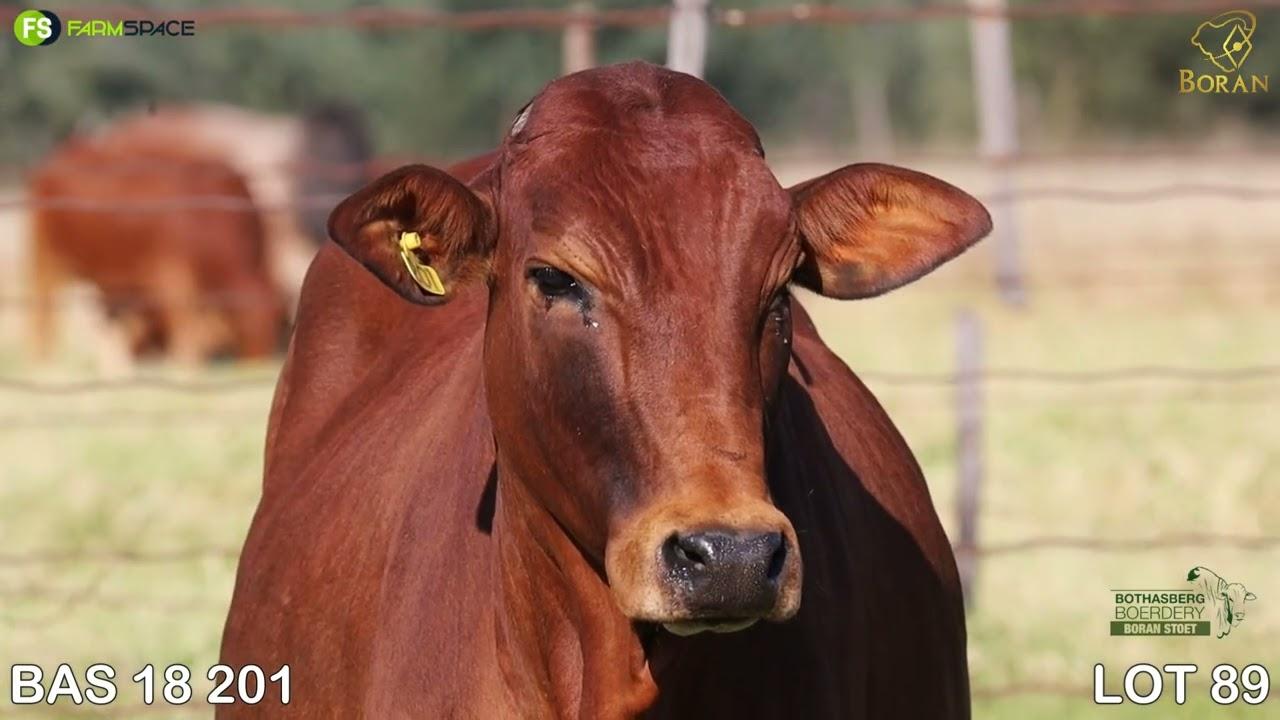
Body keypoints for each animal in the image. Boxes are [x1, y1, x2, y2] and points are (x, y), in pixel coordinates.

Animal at [28, 140, 284, 363]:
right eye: (248, 330)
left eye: (274, 327)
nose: (255, 369)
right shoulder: (171, 275)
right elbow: (185, 332)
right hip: (46, 258)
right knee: (44, 318)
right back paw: (44, 364)